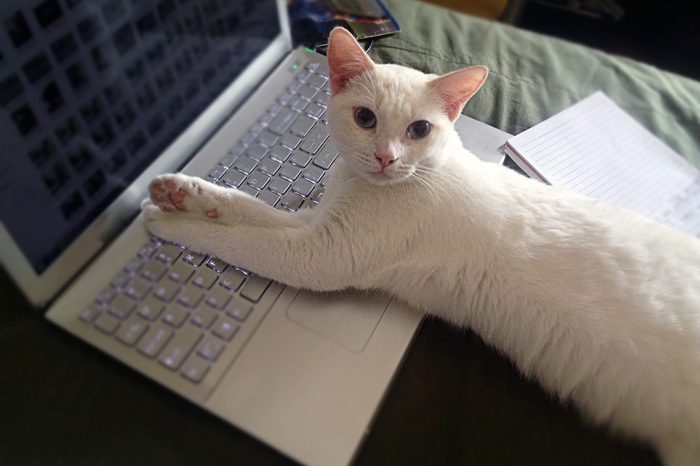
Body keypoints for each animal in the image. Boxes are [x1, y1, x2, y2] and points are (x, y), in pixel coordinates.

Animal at [144, 28, 700, 466]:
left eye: (419, 130)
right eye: (365, 119)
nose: (386, 158)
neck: (363, 185)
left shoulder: (318, 255)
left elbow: (238, 238)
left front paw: (166, 221)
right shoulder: (314, 224)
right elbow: (246, 206)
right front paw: (180, 192)